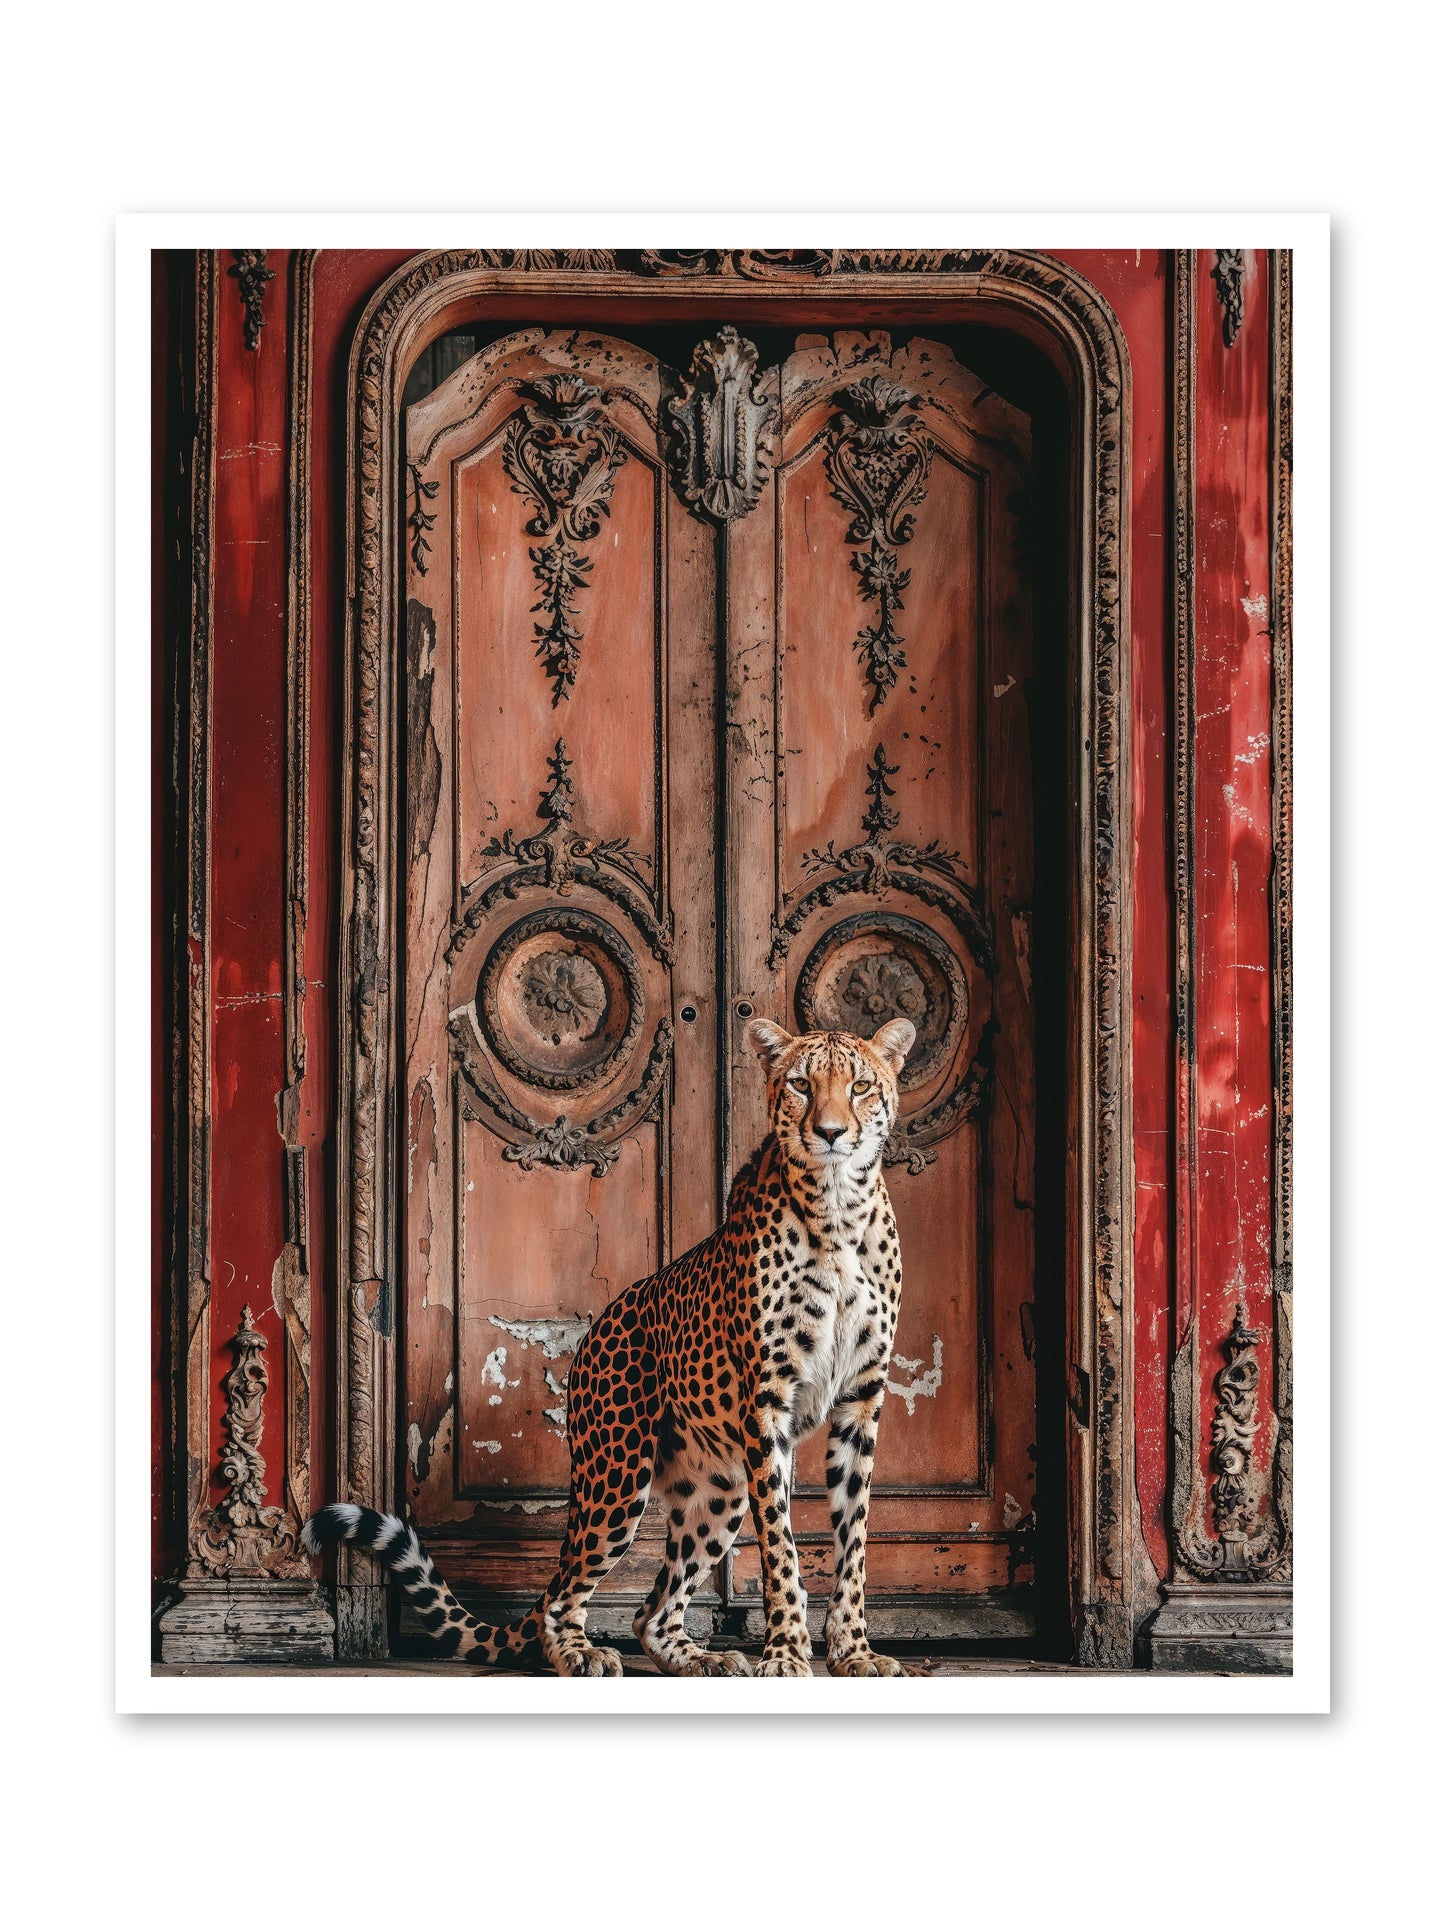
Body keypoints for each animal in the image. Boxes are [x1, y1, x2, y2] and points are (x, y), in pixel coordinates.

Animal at [303, 1015, 916, 1678]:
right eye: (802, 1084)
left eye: (860, 1086)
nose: (830, 1132)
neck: (838, 1210)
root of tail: (597, 1326)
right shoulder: (768, 1404)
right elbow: (780, 1543)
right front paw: (784, 1654)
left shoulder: (861, 1400)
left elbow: (853, 1540)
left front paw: (853, 1651)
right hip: (618, 1476)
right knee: (563, 1595)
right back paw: (582, 1652)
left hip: (719, 1489)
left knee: (650, 1612)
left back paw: (703, 1659)